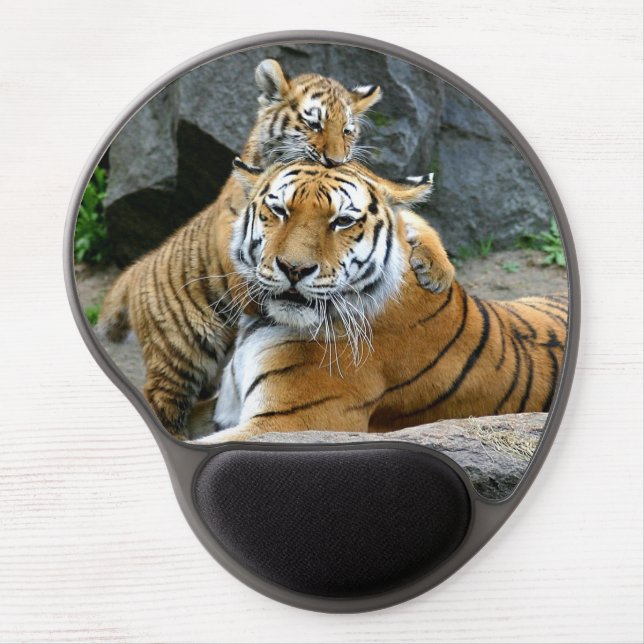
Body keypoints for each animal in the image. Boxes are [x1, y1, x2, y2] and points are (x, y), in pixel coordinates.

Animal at [97, 59, 454, 438]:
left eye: (347, 131)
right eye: (314, 124)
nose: (335, 160)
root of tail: (136, 268)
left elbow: (414, 221)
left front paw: (437, 272)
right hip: (179, 354)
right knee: (164, 400)